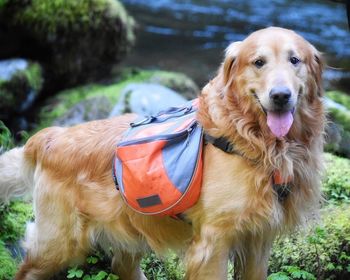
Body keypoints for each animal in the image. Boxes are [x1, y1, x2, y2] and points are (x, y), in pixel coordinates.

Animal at [0, 27, 326, 280]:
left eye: (294, 60)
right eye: (259, 62)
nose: (280, 96)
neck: (255, 140)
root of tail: (50, 137)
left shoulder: (258, 240)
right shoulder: (214, 241)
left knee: (123, 265)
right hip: (59, 243)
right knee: (28, 270)